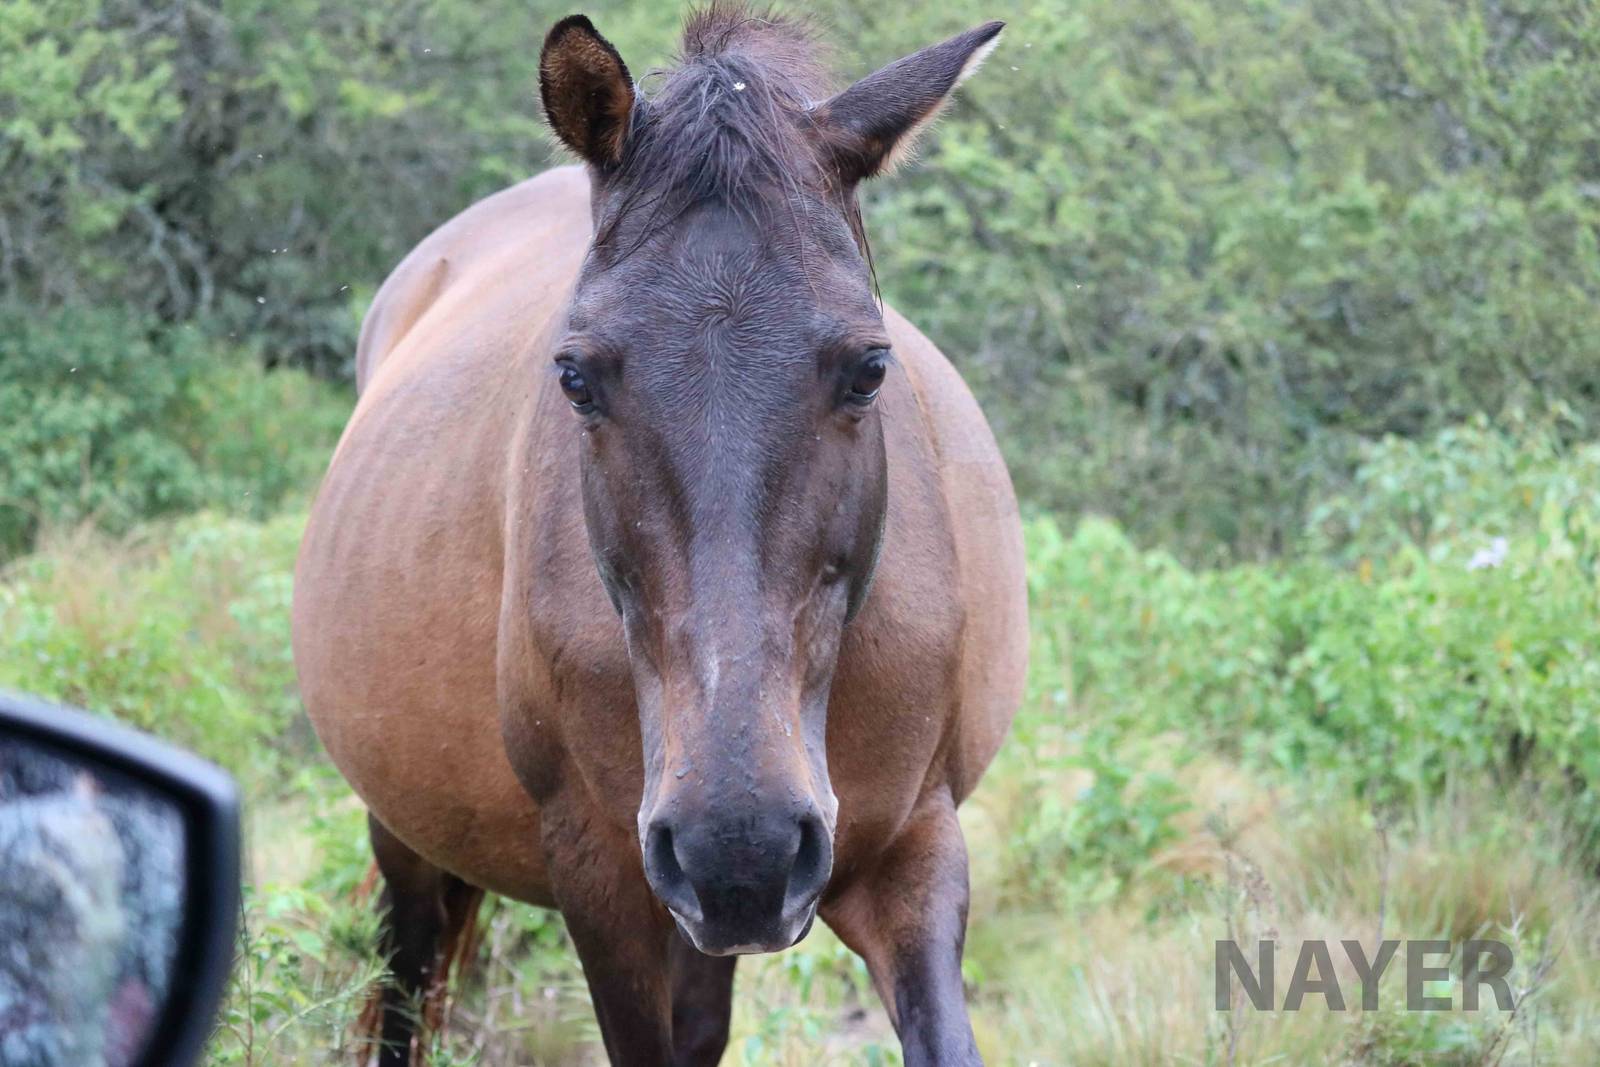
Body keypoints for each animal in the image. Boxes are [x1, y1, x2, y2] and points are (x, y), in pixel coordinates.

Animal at [292, 6, 1026, 1064]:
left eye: (870, 366)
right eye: (575, 377)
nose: (741, 844)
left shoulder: (915, 857)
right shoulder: (604, 877)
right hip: (412, 831)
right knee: (406, 972)